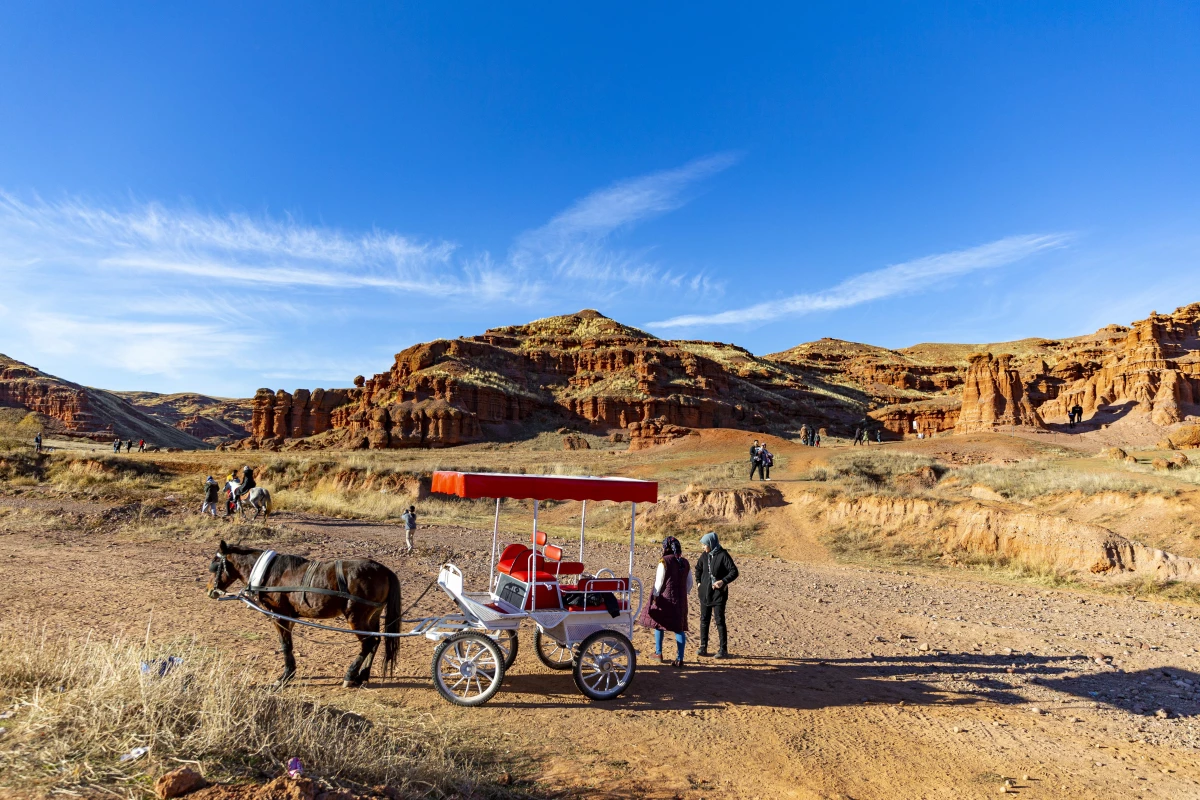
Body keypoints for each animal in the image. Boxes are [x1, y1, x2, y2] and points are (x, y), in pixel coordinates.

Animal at [206, 544, 403, 690]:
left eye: (215, 564)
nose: (209, 590)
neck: (269, 574)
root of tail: (384, 570)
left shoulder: (280, 616)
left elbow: (285, 645)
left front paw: (285, 676)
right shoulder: (290, 617)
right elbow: (289, 644)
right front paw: (290, 672)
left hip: (356, 617)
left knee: (368, 642)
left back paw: (350, 675)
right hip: (372, 616)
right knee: (376, 641)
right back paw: (362, 676)